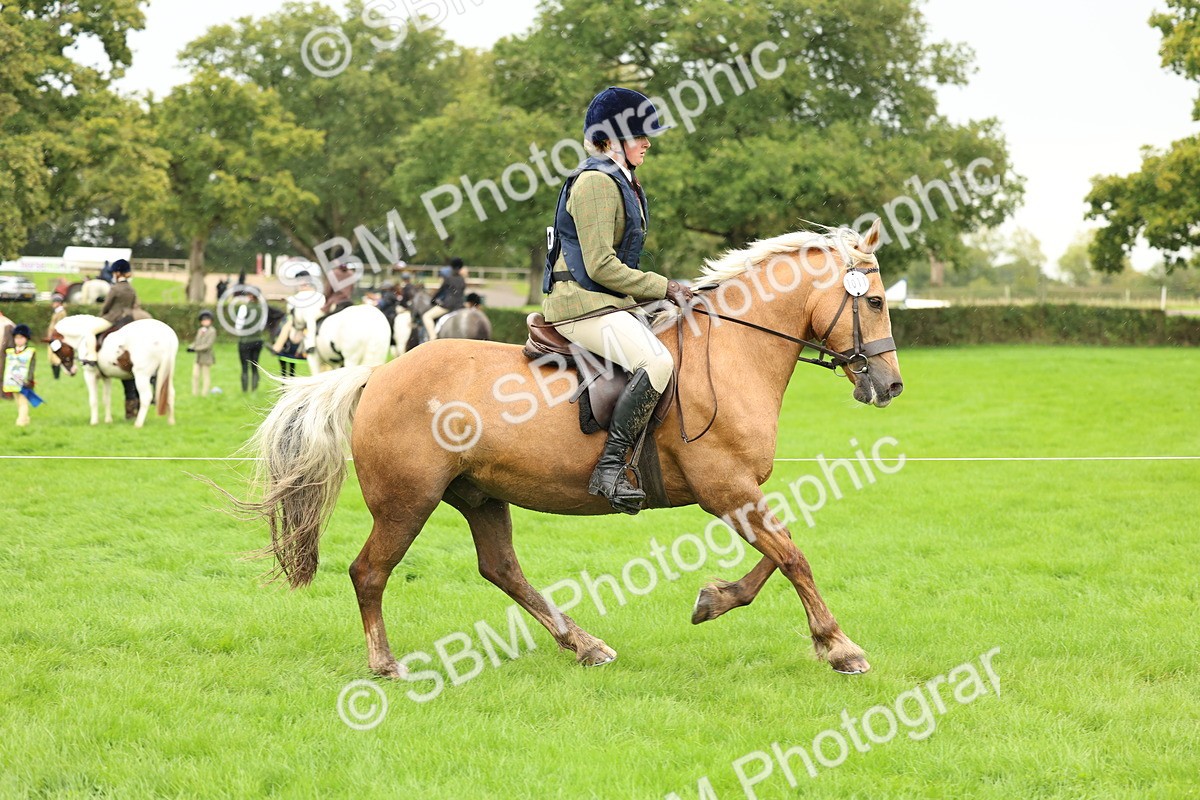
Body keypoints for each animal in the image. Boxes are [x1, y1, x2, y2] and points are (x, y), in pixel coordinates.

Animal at [233, 221, 903, 678]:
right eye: (873, 301)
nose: (890, 386)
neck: (734, 350)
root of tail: (379, 374)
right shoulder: (726, 489)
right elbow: (793, 556)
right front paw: (840, 647)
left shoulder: (738, 492)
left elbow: (784, 551)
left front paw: (715, 600)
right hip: (408, 502)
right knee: (370, 572)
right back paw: (386, 664)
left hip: (478, 495)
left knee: (501, 568)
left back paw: (585, 645)